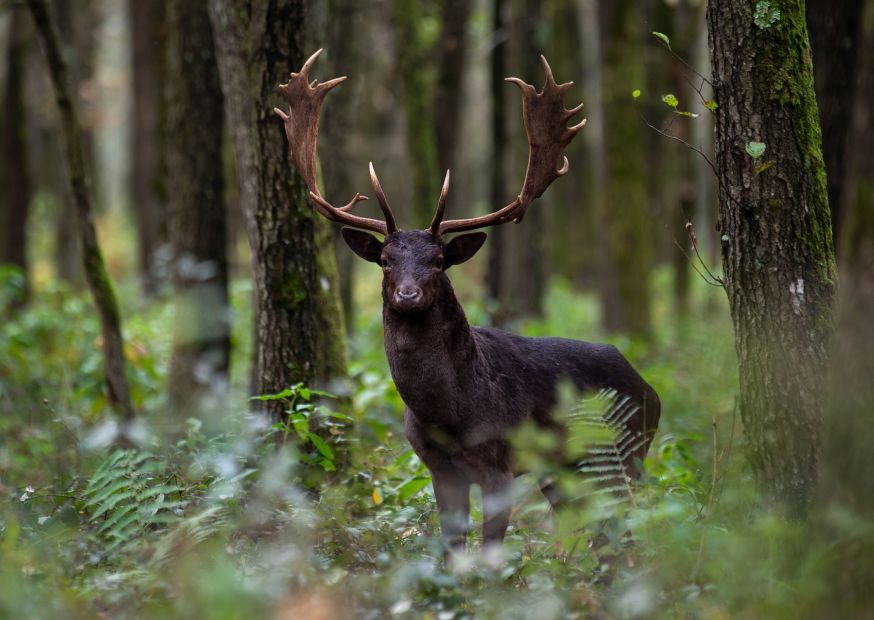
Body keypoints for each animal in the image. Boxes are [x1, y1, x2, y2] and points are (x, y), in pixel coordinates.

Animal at [274, 49, 660, 554]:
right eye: (384, 260)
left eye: (439, 261)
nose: (408, 295)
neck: (451, 413)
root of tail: (651, 389)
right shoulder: (438, 467)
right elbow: (451, 547)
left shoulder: (500, 463)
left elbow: (490, 551)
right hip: (565, 470)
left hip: (626, 451)